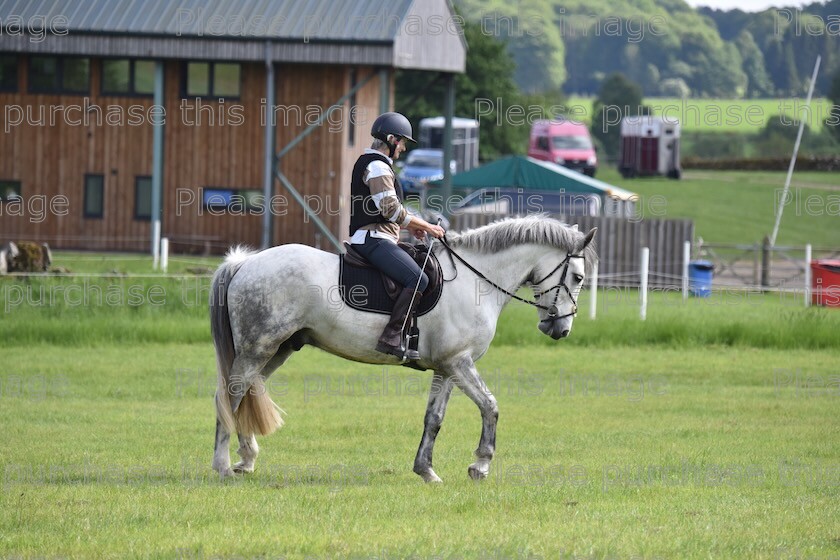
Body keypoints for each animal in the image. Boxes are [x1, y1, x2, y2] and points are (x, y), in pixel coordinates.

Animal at [208, 217, 596, 484]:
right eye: (577, 277)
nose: (560, 329)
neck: (477, 280)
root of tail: (245, 263)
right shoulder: (460, 362)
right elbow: (491, 406)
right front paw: (480, 465)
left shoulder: (446, 368)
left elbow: (434, 419)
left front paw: (426, 471)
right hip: (258, 348)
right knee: (231, 395)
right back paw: (223, 466)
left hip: (277, 350)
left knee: (245, 395)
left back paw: (246, 460)